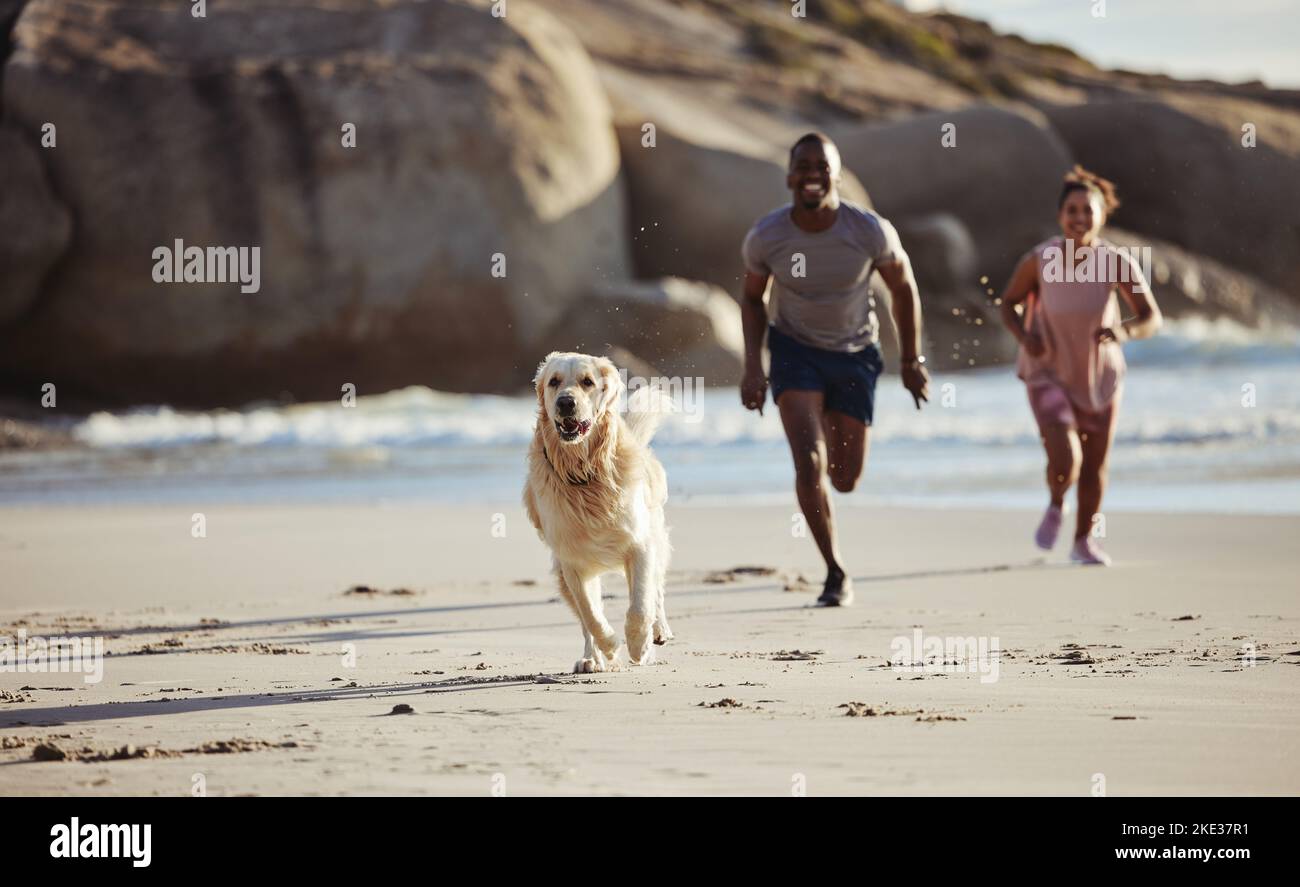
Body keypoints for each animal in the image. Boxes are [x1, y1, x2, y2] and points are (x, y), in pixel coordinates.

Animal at [522, 351, 676, 671]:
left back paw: (658, 632)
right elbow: (590, 614)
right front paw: (609, 647)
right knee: (585, 618)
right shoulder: (571, 561)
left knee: (655, 592)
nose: (565, 403)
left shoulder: (640, 544)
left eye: (587, 382)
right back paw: (590, 658)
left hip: (655, 536)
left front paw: (639, 646)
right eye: (554, 382)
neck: (585, 473)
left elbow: (640, 606)